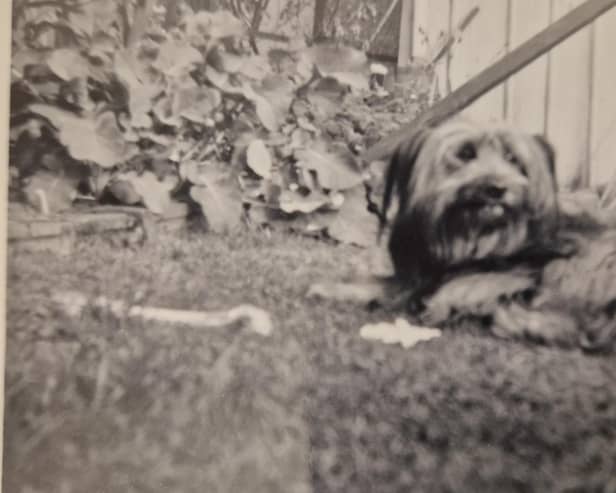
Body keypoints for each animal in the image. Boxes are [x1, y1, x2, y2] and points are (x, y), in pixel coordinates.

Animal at [310, 118, 616, 350]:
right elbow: (390, 285)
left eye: (512, 159)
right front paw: (337, 288)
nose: (496, 188)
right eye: (466, 153)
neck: (474, 238)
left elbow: (461, 290)